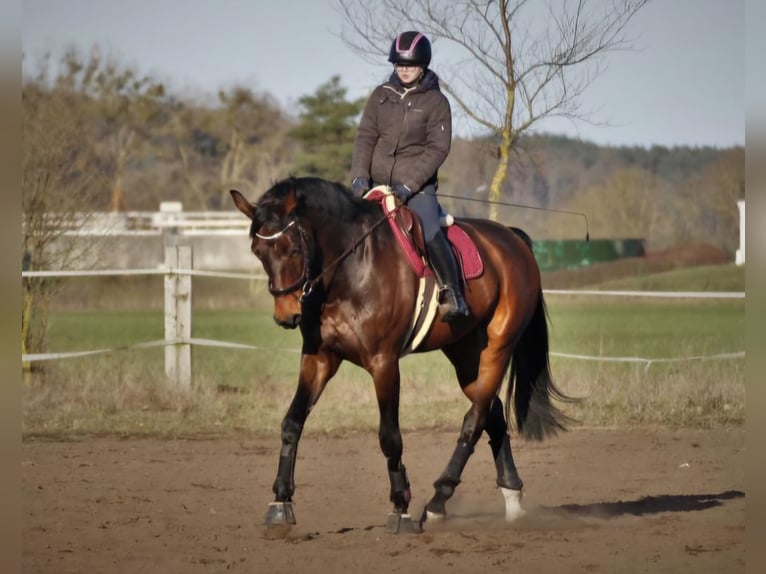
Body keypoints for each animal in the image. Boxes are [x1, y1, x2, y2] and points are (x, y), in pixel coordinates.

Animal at [230, 176, 573, 533]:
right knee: (492, 415)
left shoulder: (383, 362)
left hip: (497, 348)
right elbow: (292, 423)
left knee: (475, 419)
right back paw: (511, 498)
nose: (286, 316)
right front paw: (280, 502)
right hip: (467, 356)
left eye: (293, 248)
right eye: (258, 252)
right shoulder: (319, 358)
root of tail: (512, 238)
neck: (350, 270)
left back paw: (437, 502)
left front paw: (400, 507)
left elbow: (389, 436)